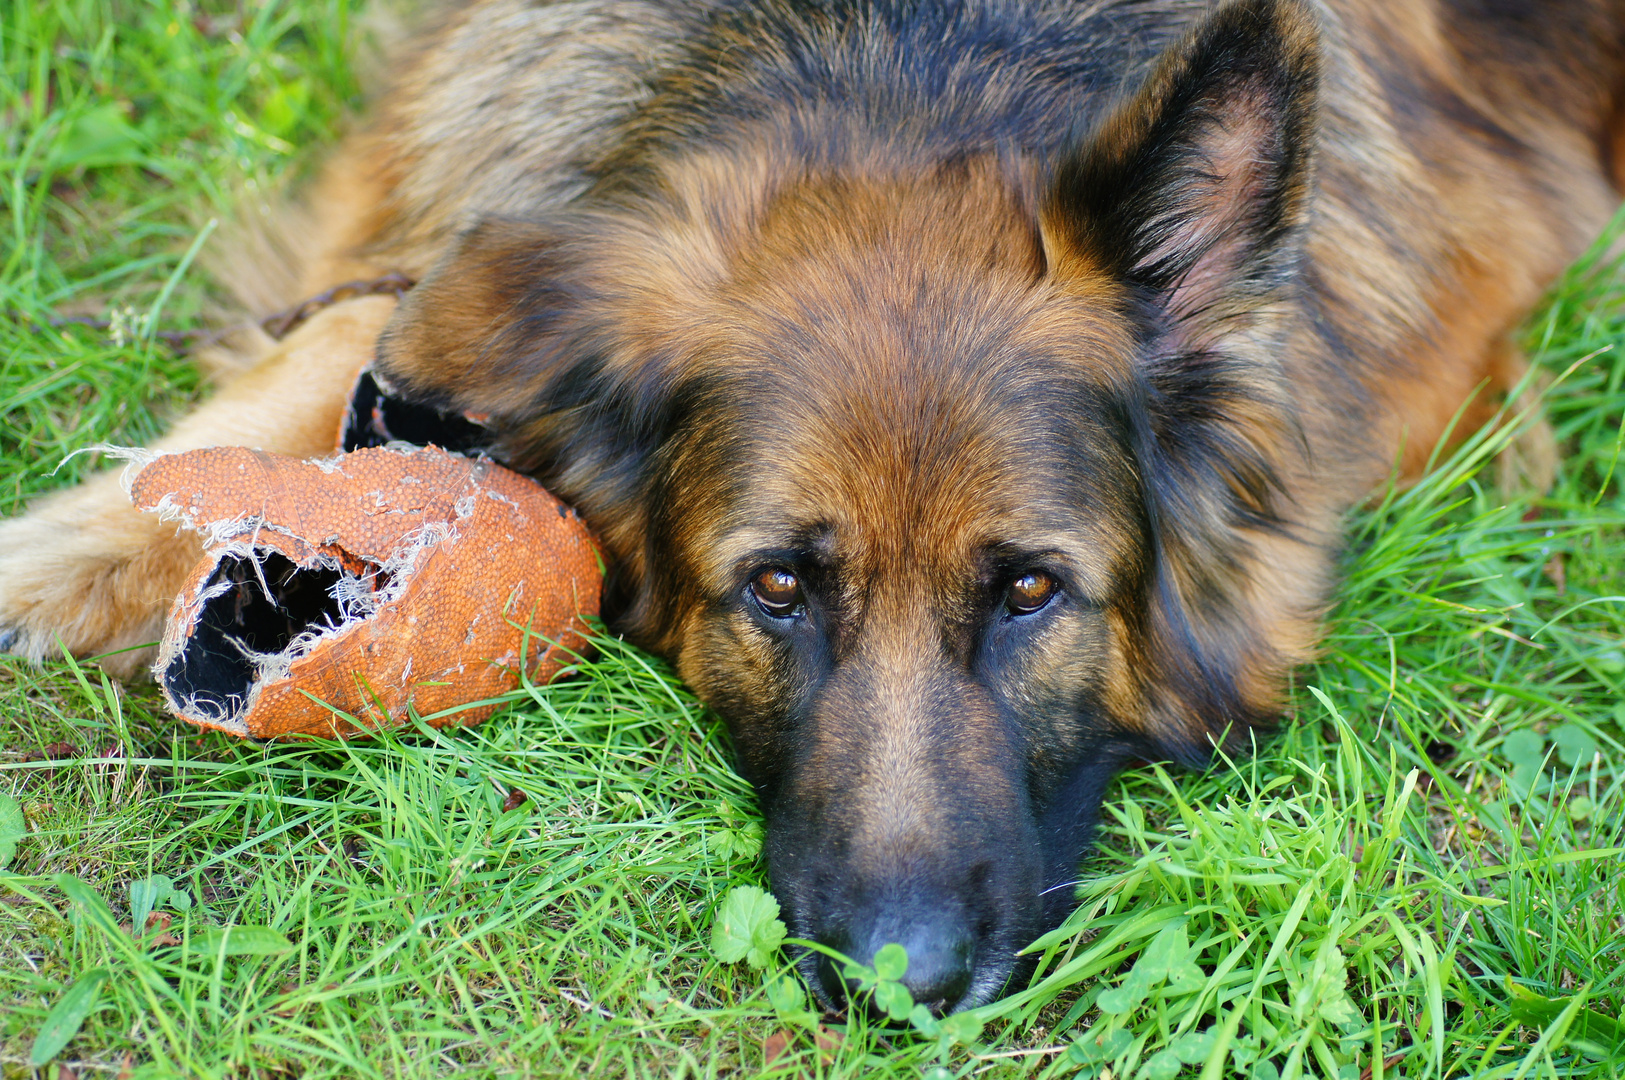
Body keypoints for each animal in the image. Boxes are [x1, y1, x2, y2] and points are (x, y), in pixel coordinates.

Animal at [3, 0, 1625, 1013]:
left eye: (1030, 591)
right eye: (776, 588)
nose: (906, 986)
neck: (911, 60)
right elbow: (351, 325)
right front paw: (74, 547)